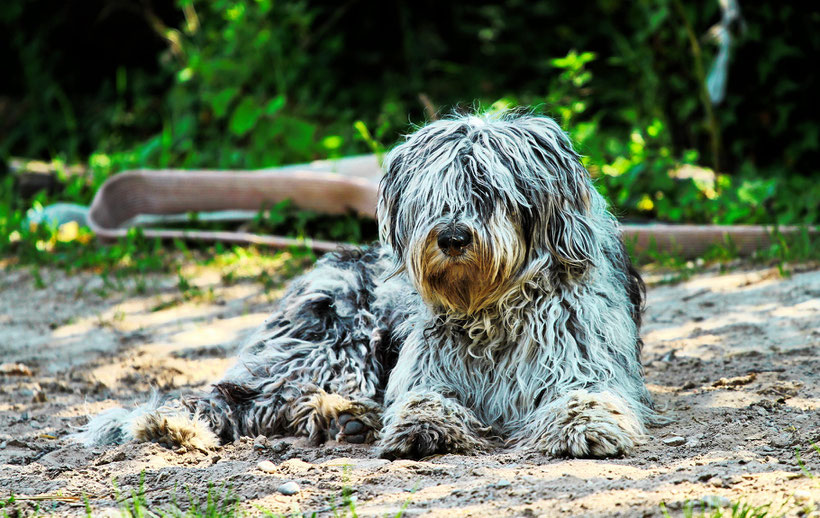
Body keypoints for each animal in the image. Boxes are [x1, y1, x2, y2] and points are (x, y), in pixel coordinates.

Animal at [77, 112, 652, 460]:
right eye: (434, 194)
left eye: (489, 189)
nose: (453, 238)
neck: (492, 307)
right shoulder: (426, 370)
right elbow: (422, 399)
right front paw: (422, 428)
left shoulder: (583, 361)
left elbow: (589, 395)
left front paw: (586, 427)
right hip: (337, 341)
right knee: (240, 398)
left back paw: (345, 419)